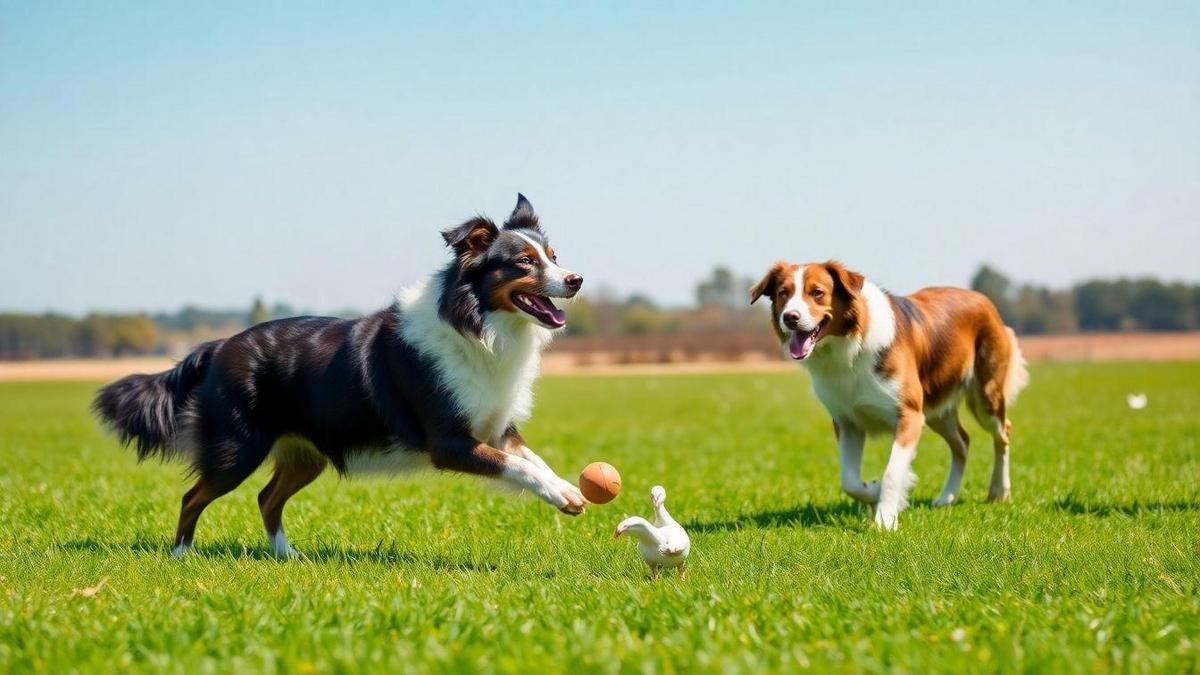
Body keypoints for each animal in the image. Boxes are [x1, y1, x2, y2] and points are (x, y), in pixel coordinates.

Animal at [93, 194, 585, 557]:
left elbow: (532, 459)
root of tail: (217, 347)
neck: (477, 322)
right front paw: (560, 493)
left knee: (266, 497)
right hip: (237, 449)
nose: (576, 279)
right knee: (193, 496)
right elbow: (515, 466)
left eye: (554, 256)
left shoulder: (496, 426)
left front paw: (569, 488)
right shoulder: (448, 441)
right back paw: (182, 555)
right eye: (524, 262)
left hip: (305, 455)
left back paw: (286, 556)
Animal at [748, 260, 1022, 528]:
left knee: (1002, 433)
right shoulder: (847, 421)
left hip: (986, 397)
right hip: (935, 409)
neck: (849, 347)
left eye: (817, 293)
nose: (790, 318)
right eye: (783, 294)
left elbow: (892, 472)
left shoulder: (909, 416)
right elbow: (849, 481)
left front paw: (885, 519)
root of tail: (982, 298)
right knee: (962, 442)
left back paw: (1000, 492)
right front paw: (874, 491)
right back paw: (947, 497)